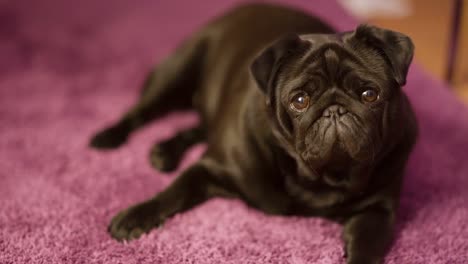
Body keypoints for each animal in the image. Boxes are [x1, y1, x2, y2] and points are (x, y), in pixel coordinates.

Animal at [90, 3, 416, 262]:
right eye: (300, 100)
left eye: (369, 94)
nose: (334, 110)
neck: (317, 179)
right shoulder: (210, 168)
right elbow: (174, 192)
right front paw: (137, 214)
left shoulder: (378, 212)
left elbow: (366, 247)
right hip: (178, 71)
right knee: (143, 111)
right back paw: (109, 137)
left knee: (201, 126)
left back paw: (165, 151)